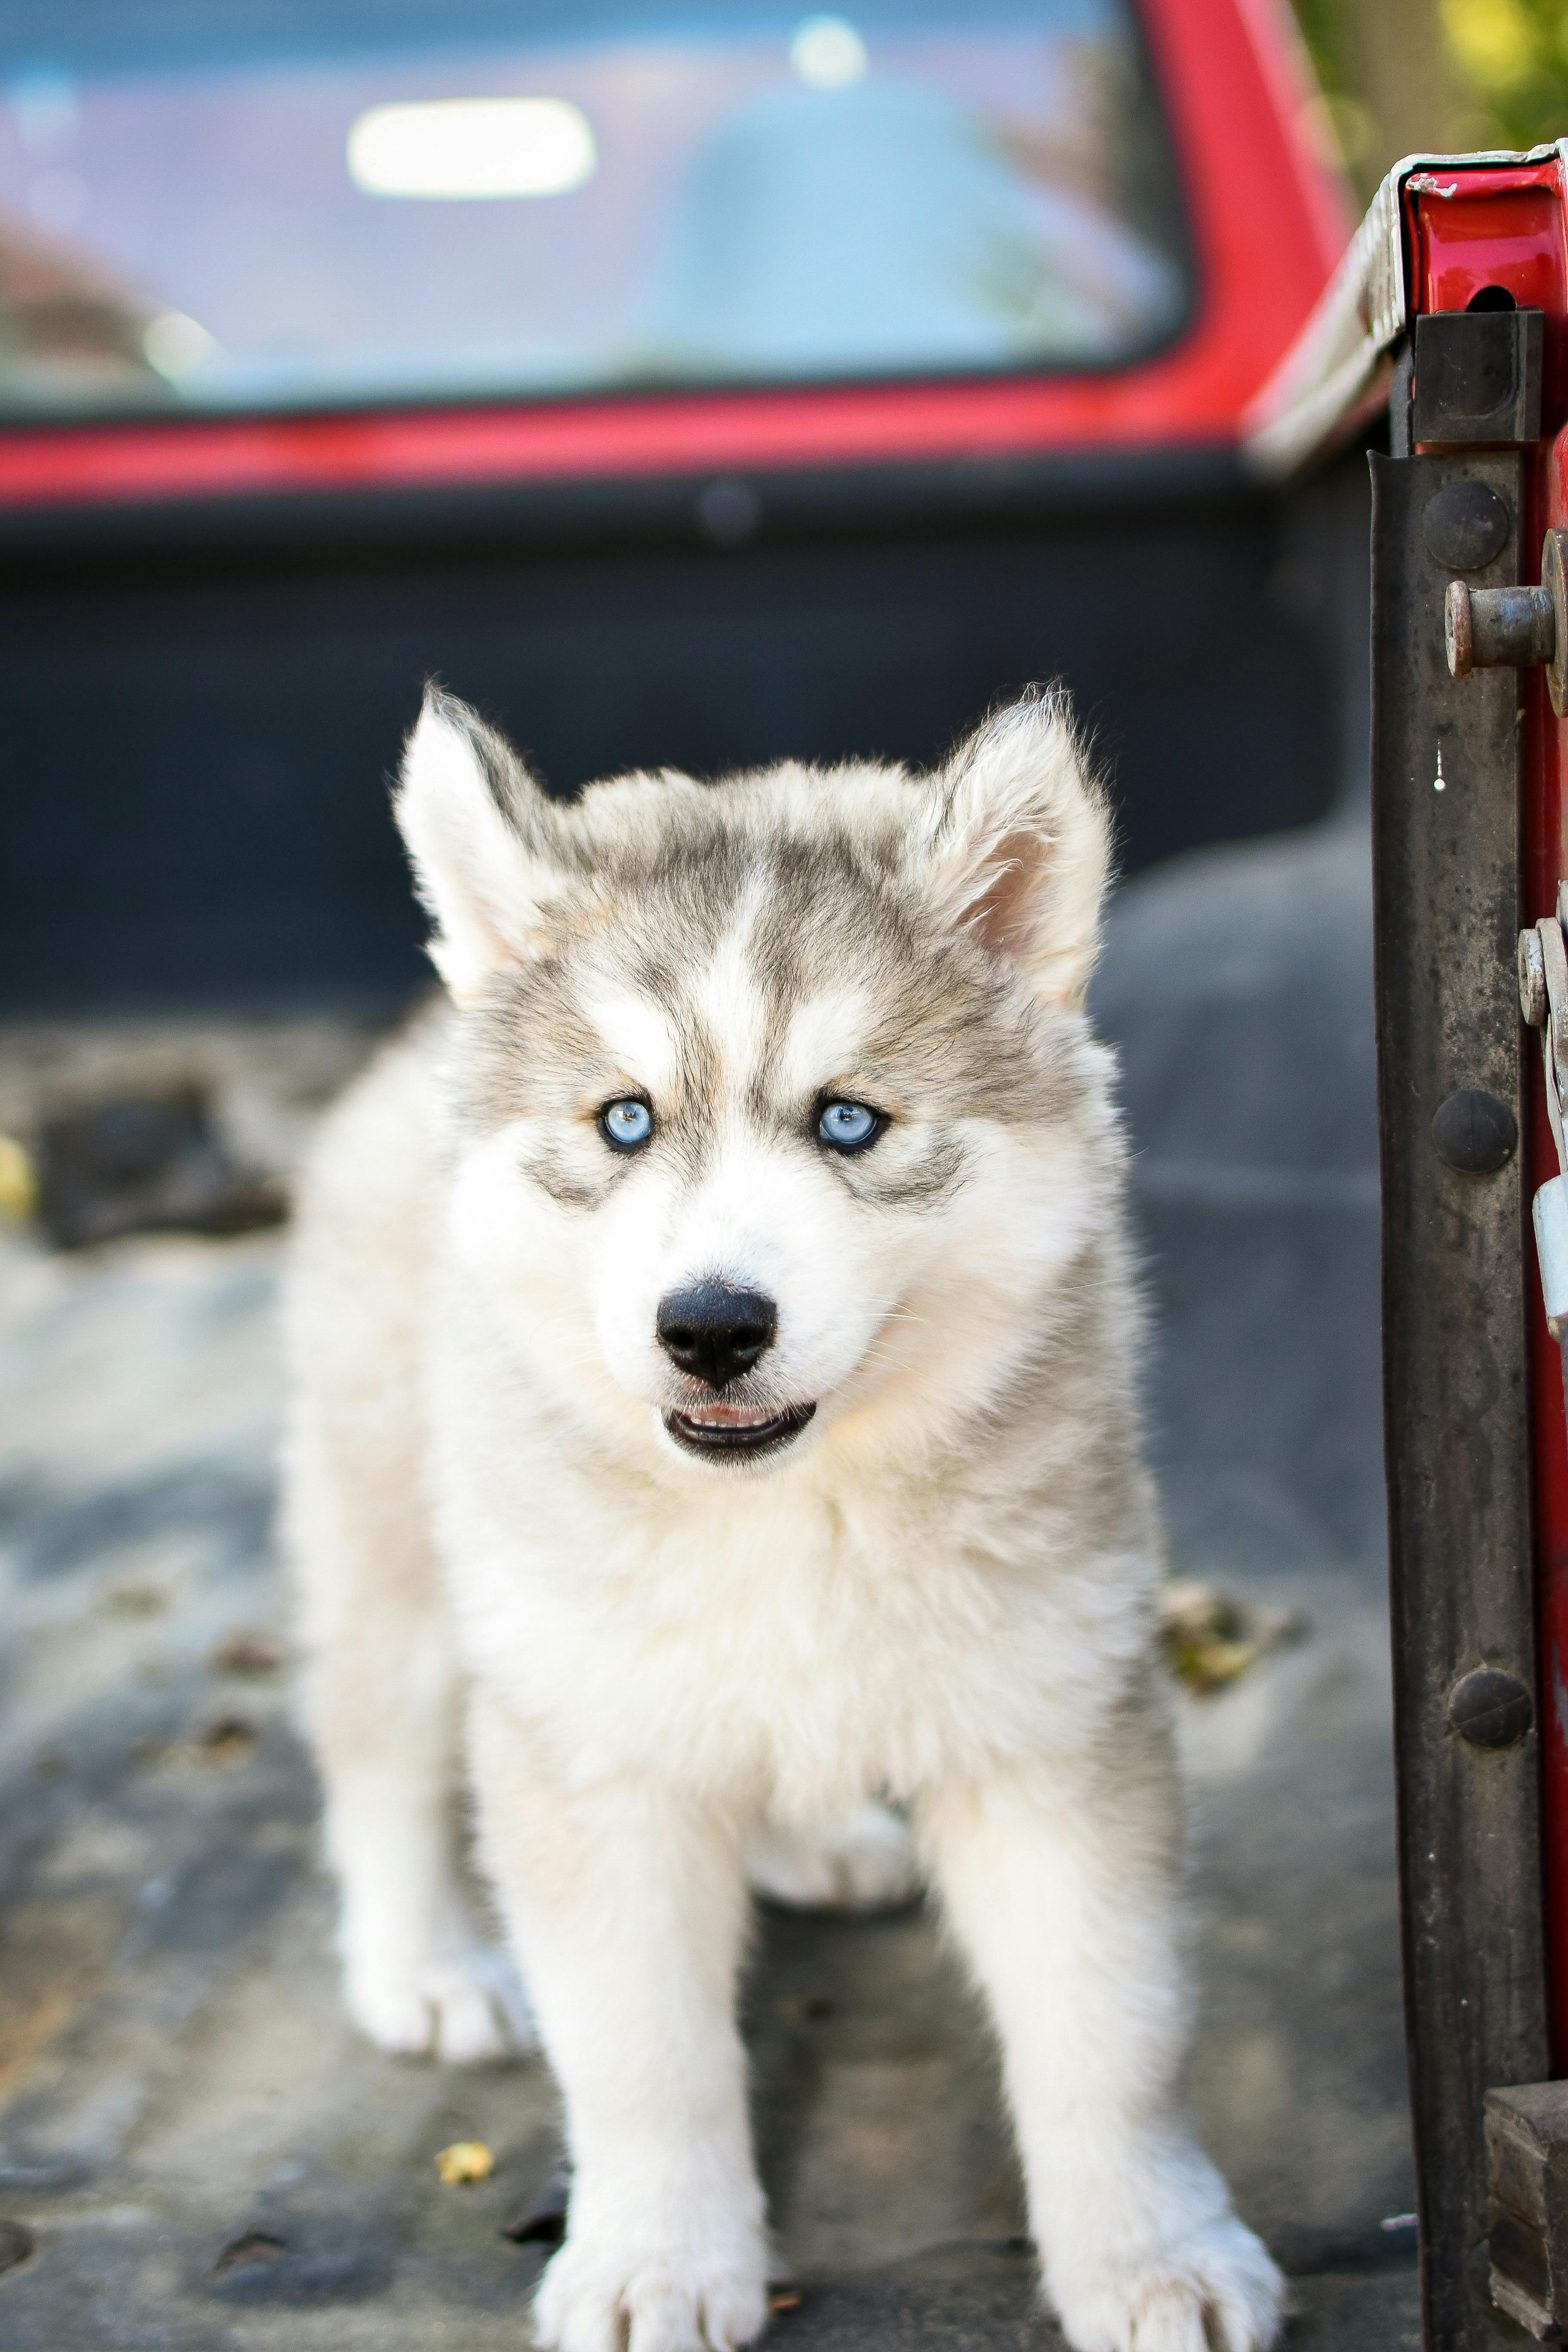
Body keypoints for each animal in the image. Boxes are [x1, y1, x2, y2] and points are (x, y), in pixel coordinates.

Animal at [285, 691, 1288, 2352]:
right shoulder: (593, 1749)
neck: (786, 1519)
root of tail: (422, 1030)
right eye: (625, 1121)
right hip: (404, 1551)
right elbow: (644, 2055)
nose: (709, 1328)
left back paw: (816, 1836)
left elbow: (1109, 2034)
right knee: (378, 1759)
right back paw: (421, 1964)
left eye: (850, 1121)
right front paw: (655, 2260)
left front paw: (1154, 2253)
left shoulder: (1052, 1727)